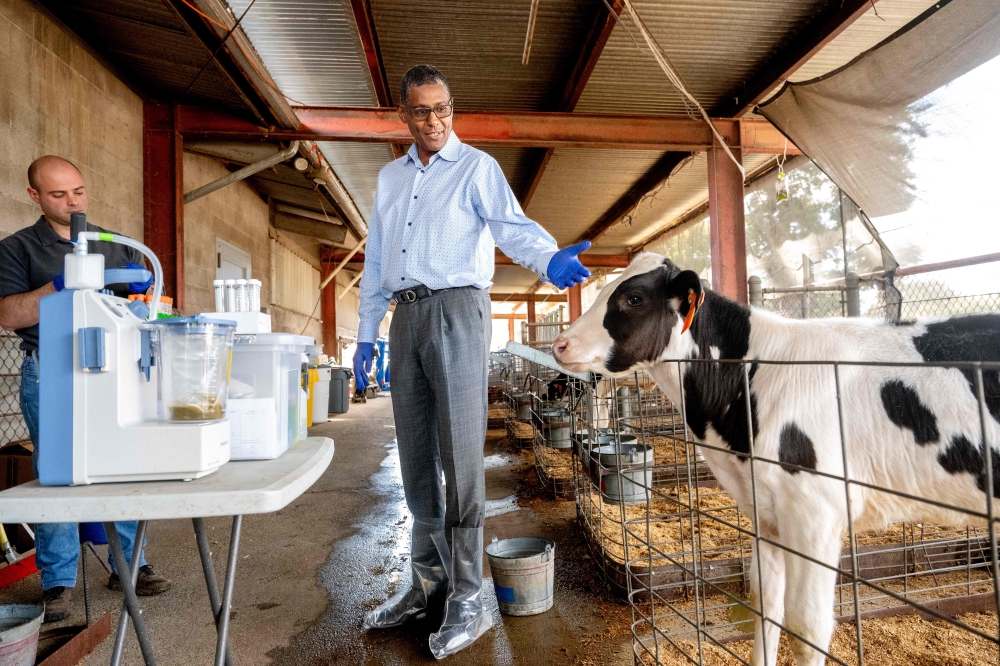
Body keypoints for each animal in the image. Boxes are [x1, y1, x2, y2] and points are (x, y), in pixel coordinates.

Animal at [552, 252, 1000, 660]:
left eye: (634, 298)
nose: (559, 343)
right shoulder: (766, 513)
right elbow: (766, 606)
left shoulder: (815, 513)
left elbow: (808, 626)